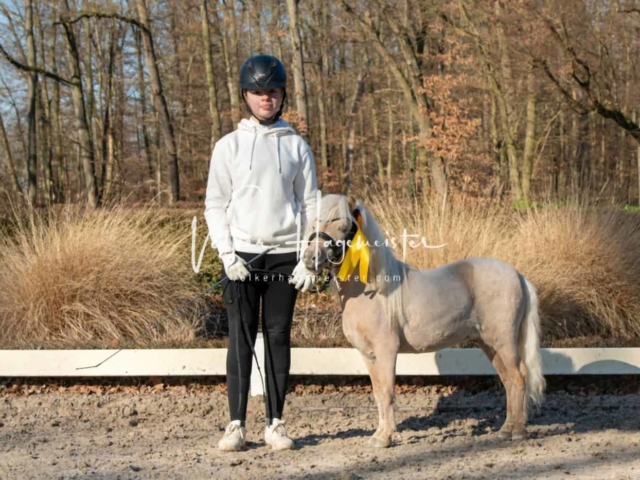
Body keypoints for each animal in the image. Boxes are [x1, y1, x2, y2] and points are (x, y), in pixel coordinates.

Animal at [302, 193, 544, 448]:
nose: (310, 259)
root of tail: (517, 275)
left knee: (519, 378)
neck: (372, 291)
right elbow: (378, 392)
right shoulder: (367, 354)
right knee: (508, 382)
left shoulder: (386, 350)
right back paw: (505, 430)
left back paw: (518, 432)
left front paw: (386, 437)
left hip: (504, 342)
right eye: (314, 222)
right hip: (489, 344)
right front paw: (378, 435)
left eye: (342, 224)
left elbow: (387, 391)